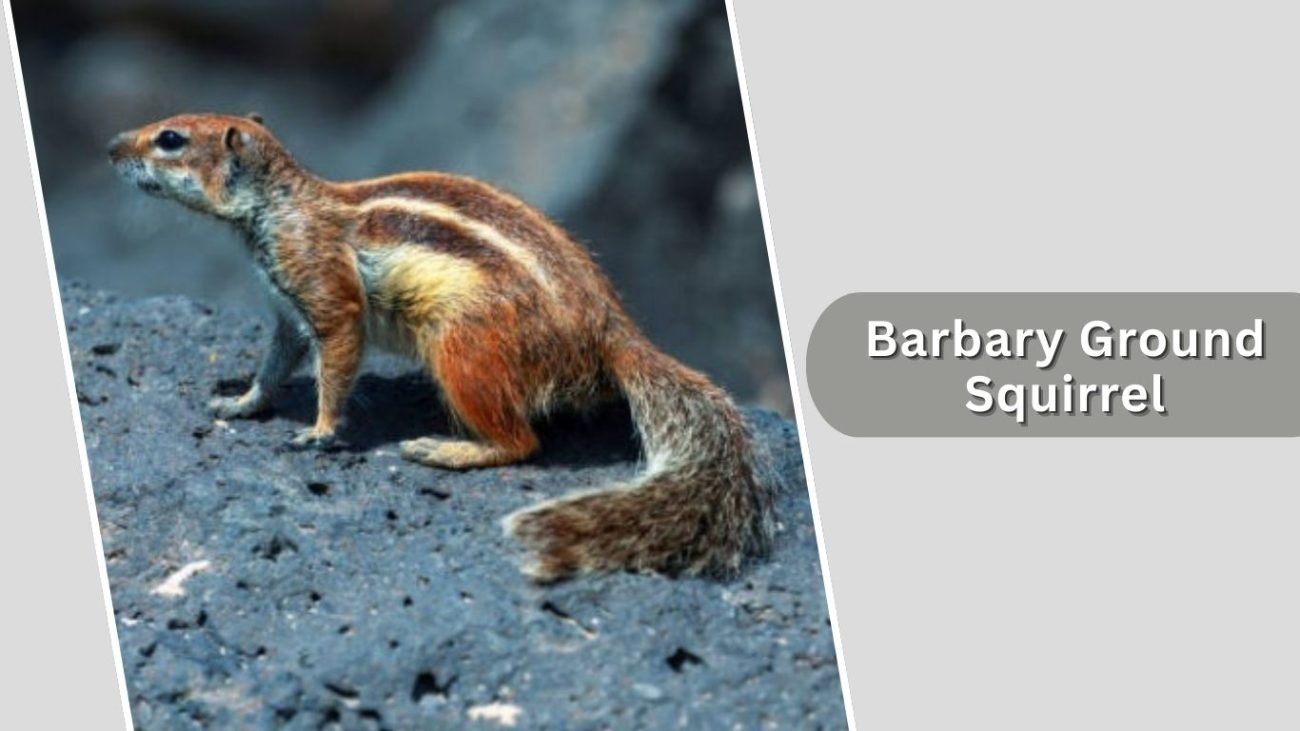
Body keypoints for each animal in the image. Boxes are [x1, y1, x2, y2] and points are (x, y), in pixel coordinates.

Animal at [108, 112, 777, 582]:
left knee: (520, 443)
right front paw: (240, 404)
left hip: (462, 347)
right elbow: (275, 365)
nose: (111, 148)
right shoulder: (287, 312)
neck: (283, 204)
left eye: (169, 138)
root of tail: (613, 332)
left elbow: (337, 359)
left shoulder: (326, 292)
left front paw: (319, 431)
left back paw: (445, 449)